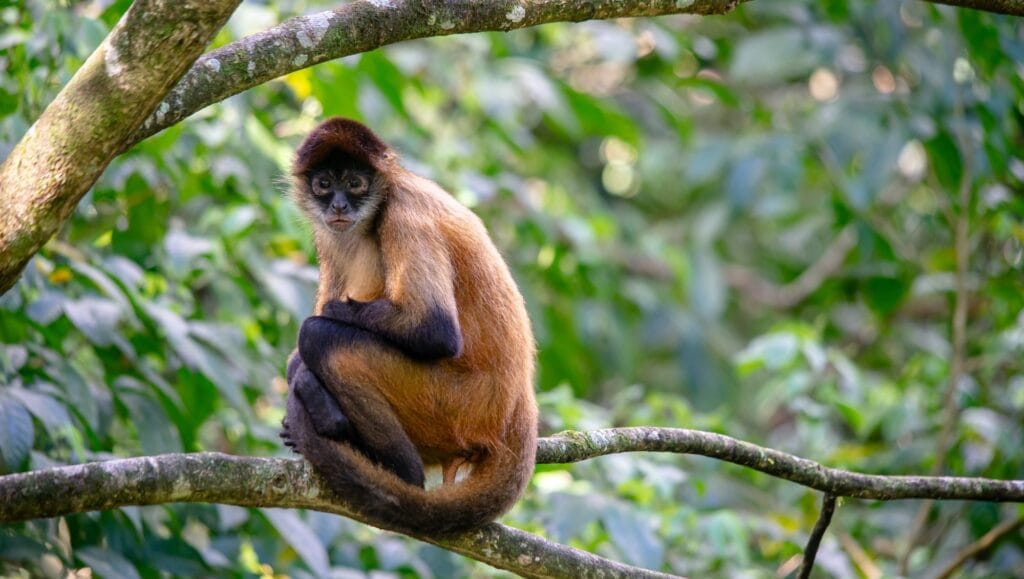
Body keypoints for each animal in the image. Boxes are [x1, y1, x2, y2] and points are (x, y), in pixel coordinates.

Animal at [279, 117, 538, 537]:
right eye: (324, 183)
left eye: (355, 182)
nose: (338, 205)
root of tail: (519, 403)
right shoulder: (328, 233)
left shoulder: (405, 214)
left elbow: (435, 331)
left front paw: (304, 372)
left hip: (452, 404)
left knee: (321, 336)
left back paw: (397, 471)